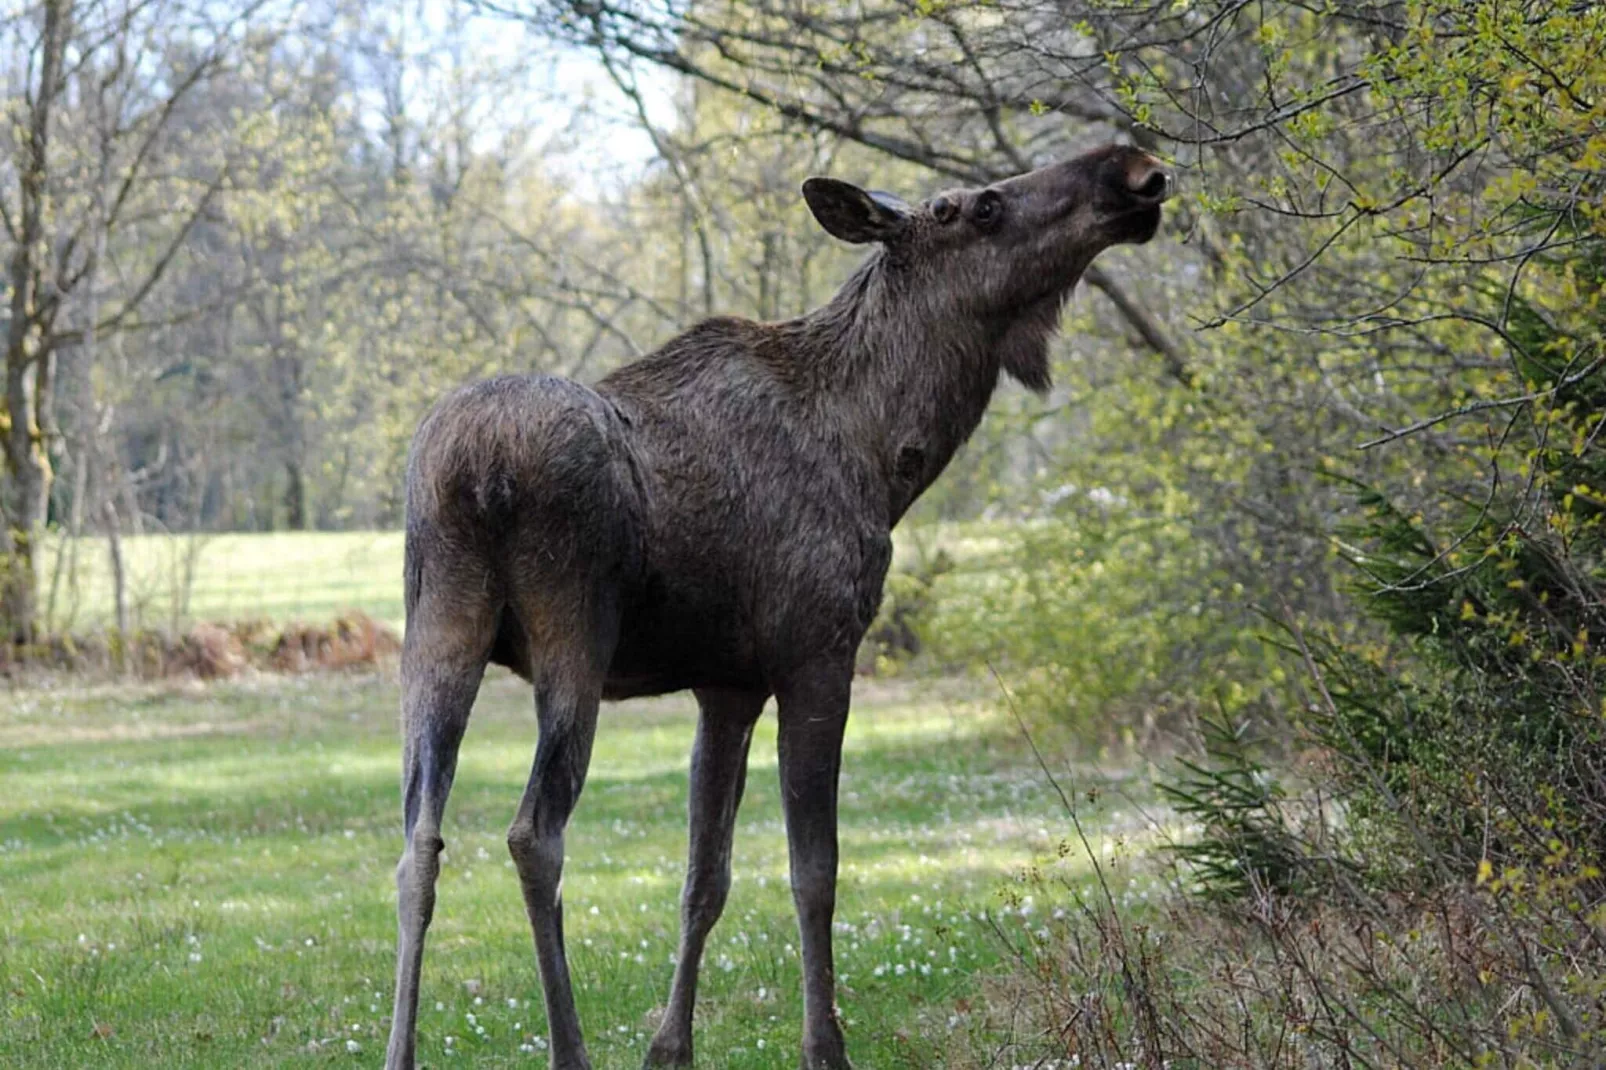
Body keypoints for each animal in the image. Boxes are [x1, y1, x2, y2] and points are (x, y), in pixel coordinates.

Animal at [383, 143, 1175, 1066]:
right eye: (980, 206)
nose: (1133, 169)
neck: (888, 455)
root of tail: (478, 470)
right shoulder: (818, 652)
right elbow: (814, 871)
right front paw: (825, 1044)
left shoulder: (727, 685)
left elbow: (705, 878)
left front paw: (669, 1048)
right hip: (571, 634)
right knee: (532, 833)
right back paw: (569, 1049)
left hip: (437, 628)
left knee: (418, 842)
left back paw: (401, 1052)